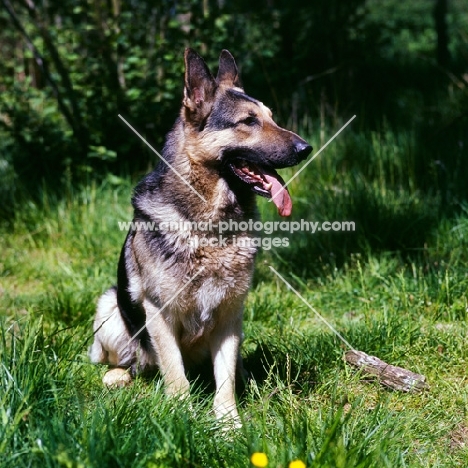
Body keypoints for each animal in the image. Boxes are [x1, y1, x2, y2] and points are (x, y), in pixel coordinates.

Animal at [90, 49, 312, 426]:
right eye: (248, 121)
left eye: (271, 118)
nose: (306, 148)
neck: (210, 226)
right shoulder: (159, 313)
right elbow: (175, 374)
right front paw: (183, 415)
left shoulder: (230, 315)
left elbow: (225, 378)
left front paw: (228, 423)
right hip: (110, 307)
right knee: (132, 363)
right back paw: (120, 375)